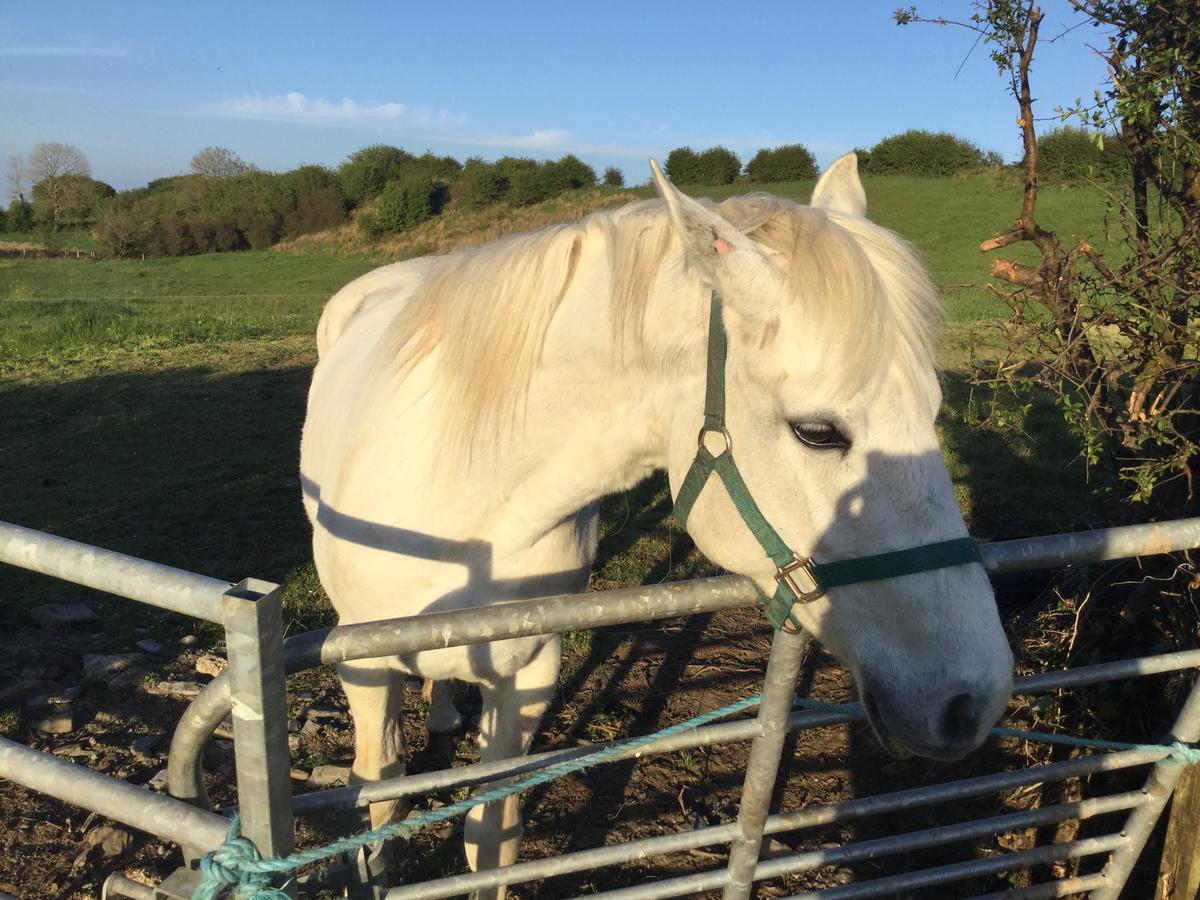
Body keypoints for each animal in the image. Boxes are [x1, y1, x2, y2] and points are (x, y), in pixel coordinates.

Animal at [300, 157, 1012, 897]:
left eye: (933, 410)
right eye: (817, 432)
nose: (973, 699)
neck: (468, 511)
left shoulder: (528, 671)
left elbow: (491, 840)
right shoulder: (364, 669)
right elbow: (378, 802)